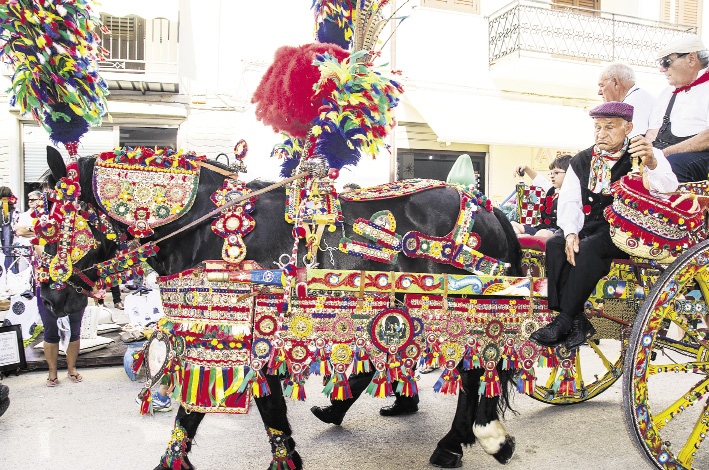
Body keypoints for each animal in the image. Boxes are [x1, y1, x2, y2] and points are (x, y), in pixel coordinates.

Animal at [41, 145, 524, 468]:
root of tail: (484, 207)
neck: (206, 228)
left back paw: (471, 439)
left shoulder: (242, 335)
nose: (49, 296)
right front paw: (282, 455)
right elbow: (243, 406)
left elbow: (216, 407)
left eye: (54, 220)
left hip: (460, 312)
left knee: (474, 370)